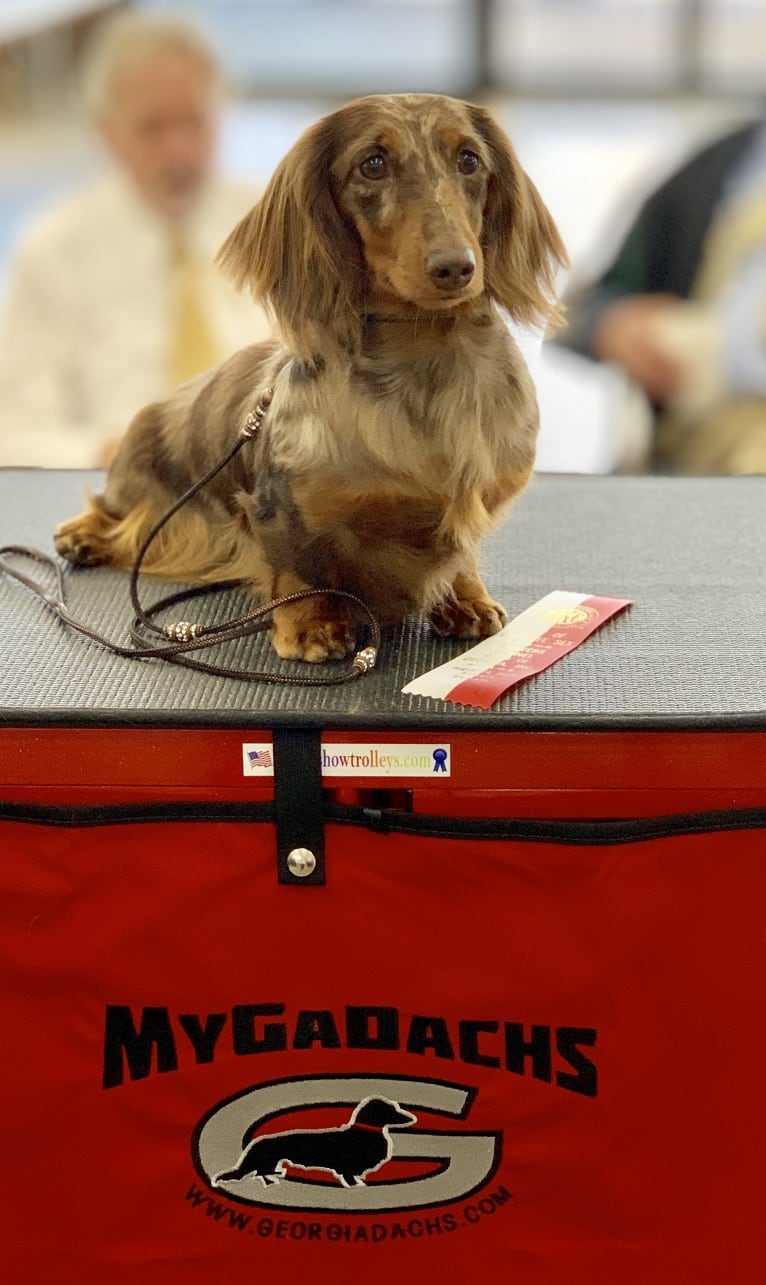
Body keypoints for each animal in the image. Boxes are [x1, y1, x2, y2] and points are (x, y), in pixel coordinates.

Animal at [53, 93, 565, 657]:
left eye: (469, 159)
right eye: (373, 164)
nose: (455, 266)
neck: (427, 356)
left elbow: (460, 552)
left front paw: (467, 597)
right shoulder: (283, 508)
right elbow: (302, 566)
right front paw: (312, 623)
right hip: (142, 477)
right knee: (117, 509)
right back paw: (82, 533)